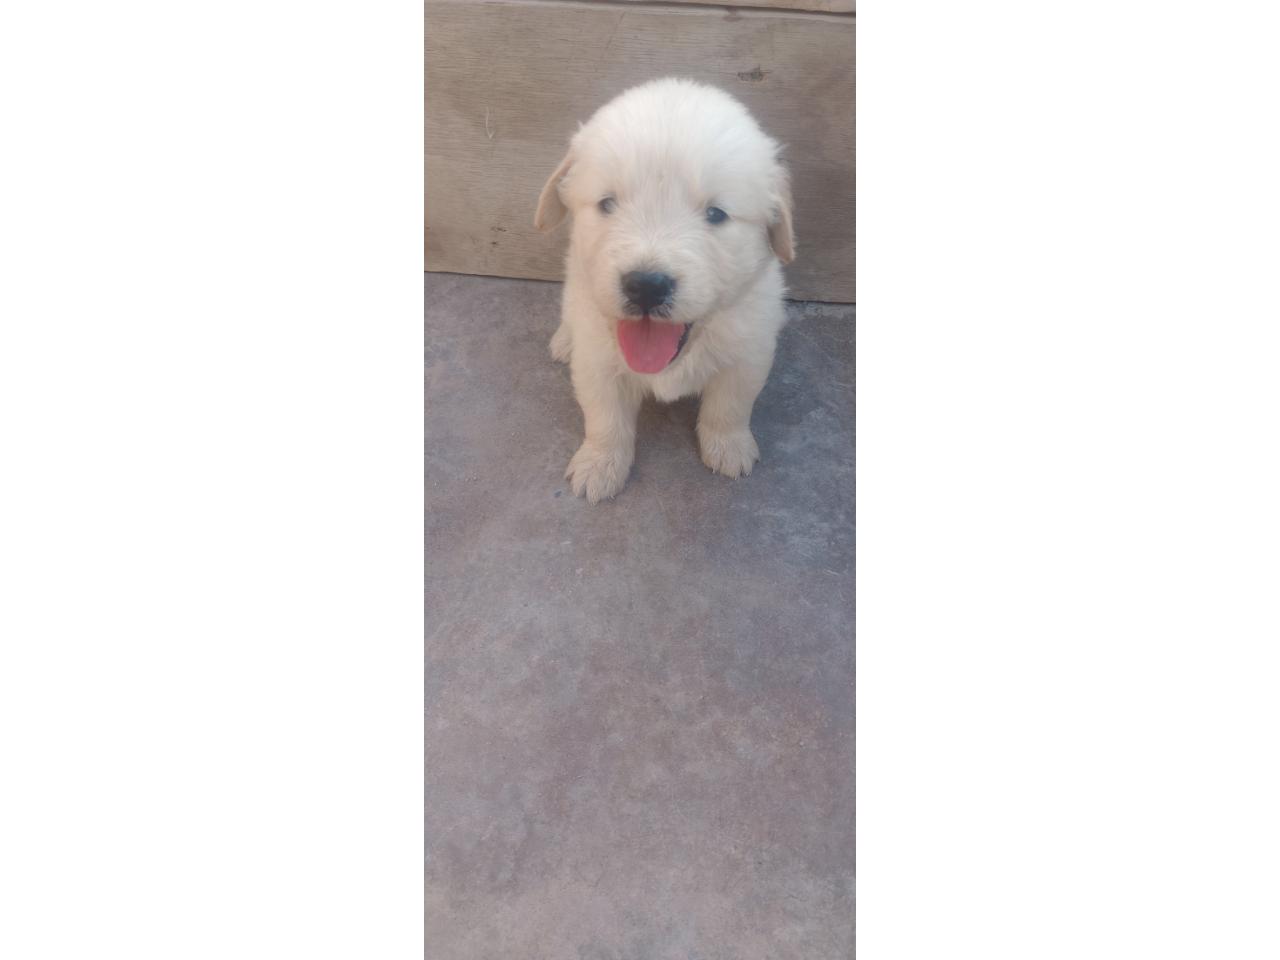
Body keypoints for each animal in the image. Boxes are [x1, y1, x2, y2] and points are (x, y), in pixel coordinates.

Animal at [535, 77, 795, 503]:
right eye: (608, 204)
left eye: (715, 214)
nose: (646, 286)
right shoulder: (597, 363)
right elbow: (605, 419)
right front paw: (599, 465)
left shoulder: (749, 351)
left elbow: (729, 406)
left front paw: (730, 448)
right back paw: (563, 341)